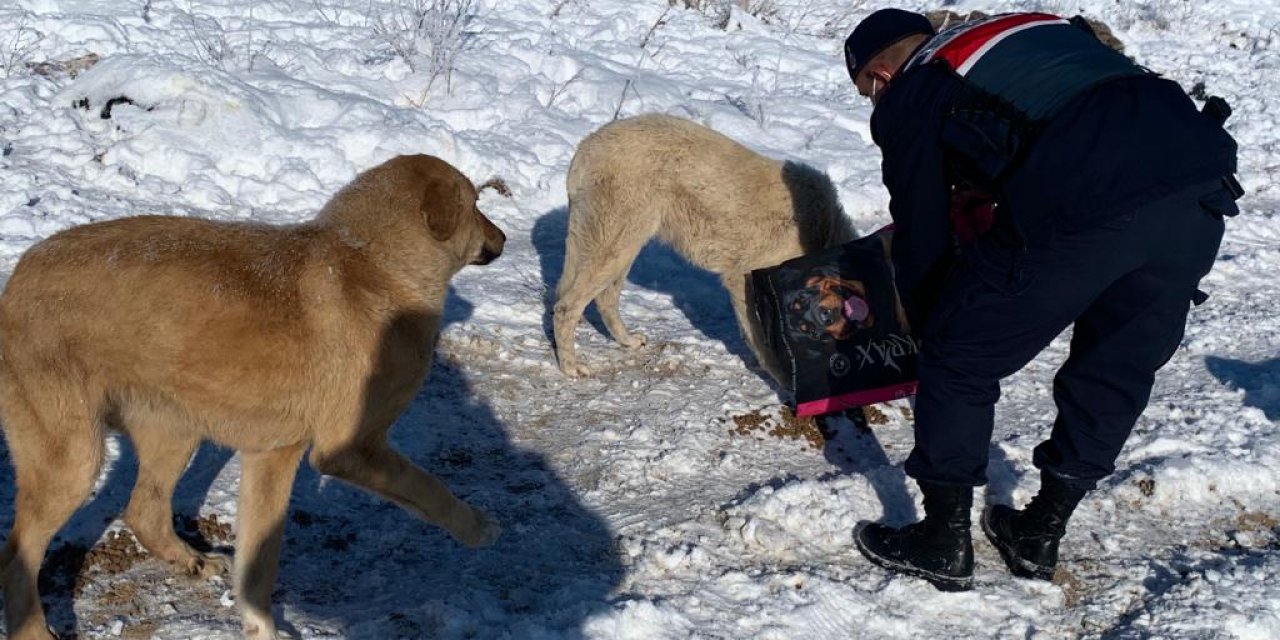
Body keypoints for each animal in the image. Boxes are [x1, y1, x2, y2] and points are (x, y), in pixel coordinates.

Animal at [0, 154, 504, 640]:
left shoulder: (273, 455)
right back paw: (34, 632)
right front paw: (478, 527)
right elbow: (430, 489)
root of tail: (16, 280)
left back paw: (192, 560)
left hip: (175, 429)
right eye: (475, 203)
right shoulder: (351, 449)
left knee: (143, 510)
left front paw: (259, 626)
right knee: (18, 552)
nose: (502, 238)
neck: (375, 262)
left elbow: (258, 567)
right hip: (73, 459)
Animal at [555, 113, 855, 381]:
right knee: (566, 307)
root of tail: (585, 147)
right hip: (616, 250)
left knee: (600, 299)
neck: (822, 231)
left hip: (625, 249)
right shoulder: (741, 278)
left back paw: (627, 341)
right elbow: (763, 345)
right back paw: (571, 368)